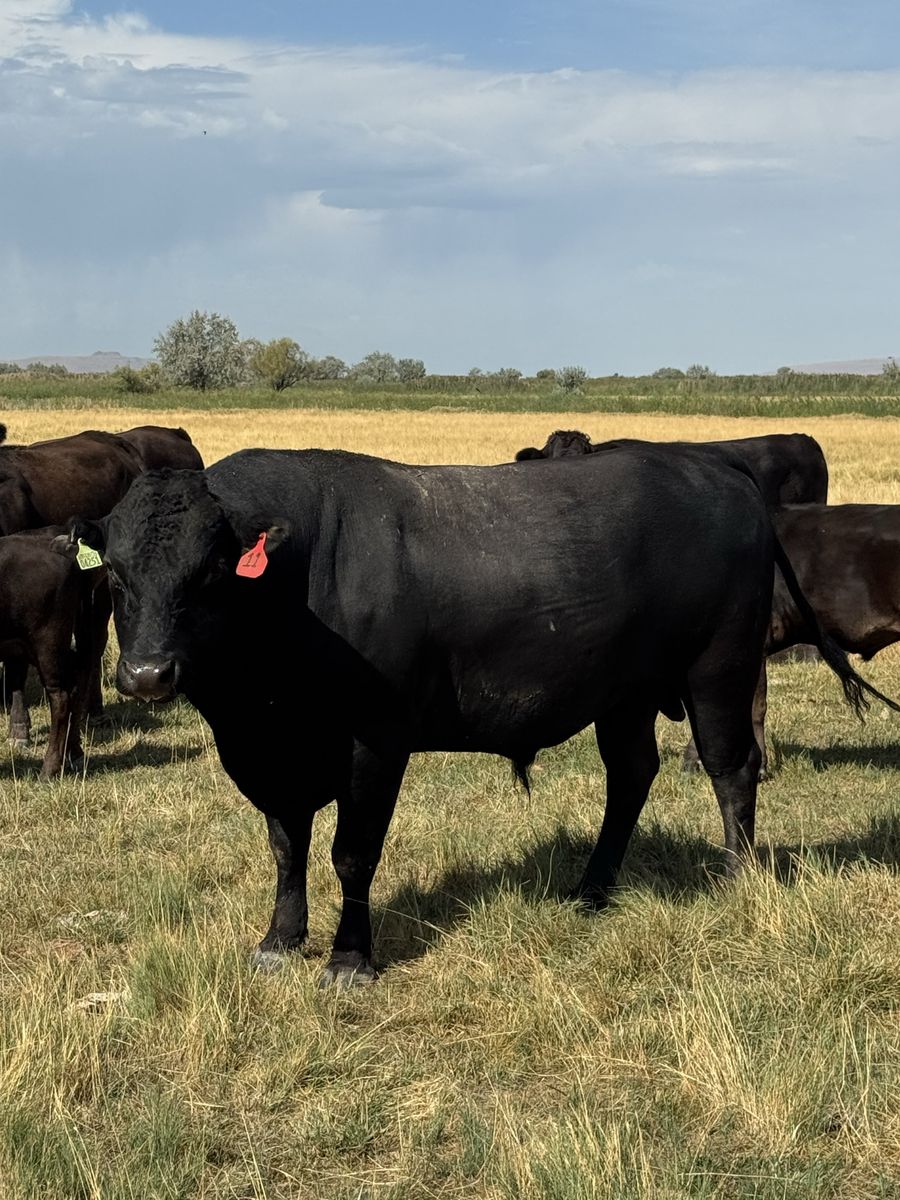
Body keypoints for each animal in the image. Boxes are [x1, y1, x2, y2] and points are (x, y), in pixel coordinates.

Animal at [69, 446, 891, 988]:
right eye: (117, 575)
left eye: (209, 572)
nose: (147, 674)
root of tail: (716, 468)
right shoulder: (275, 753)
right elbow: (285, 845)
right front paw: (280, 938)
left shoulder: (374, 741)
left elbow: (351, 853)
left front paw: (349, 958)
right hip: (624, 693)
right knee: (631, 775)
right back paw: (591, 889)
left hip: (719, 668)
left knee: (731, 766)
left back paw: (735, 879)